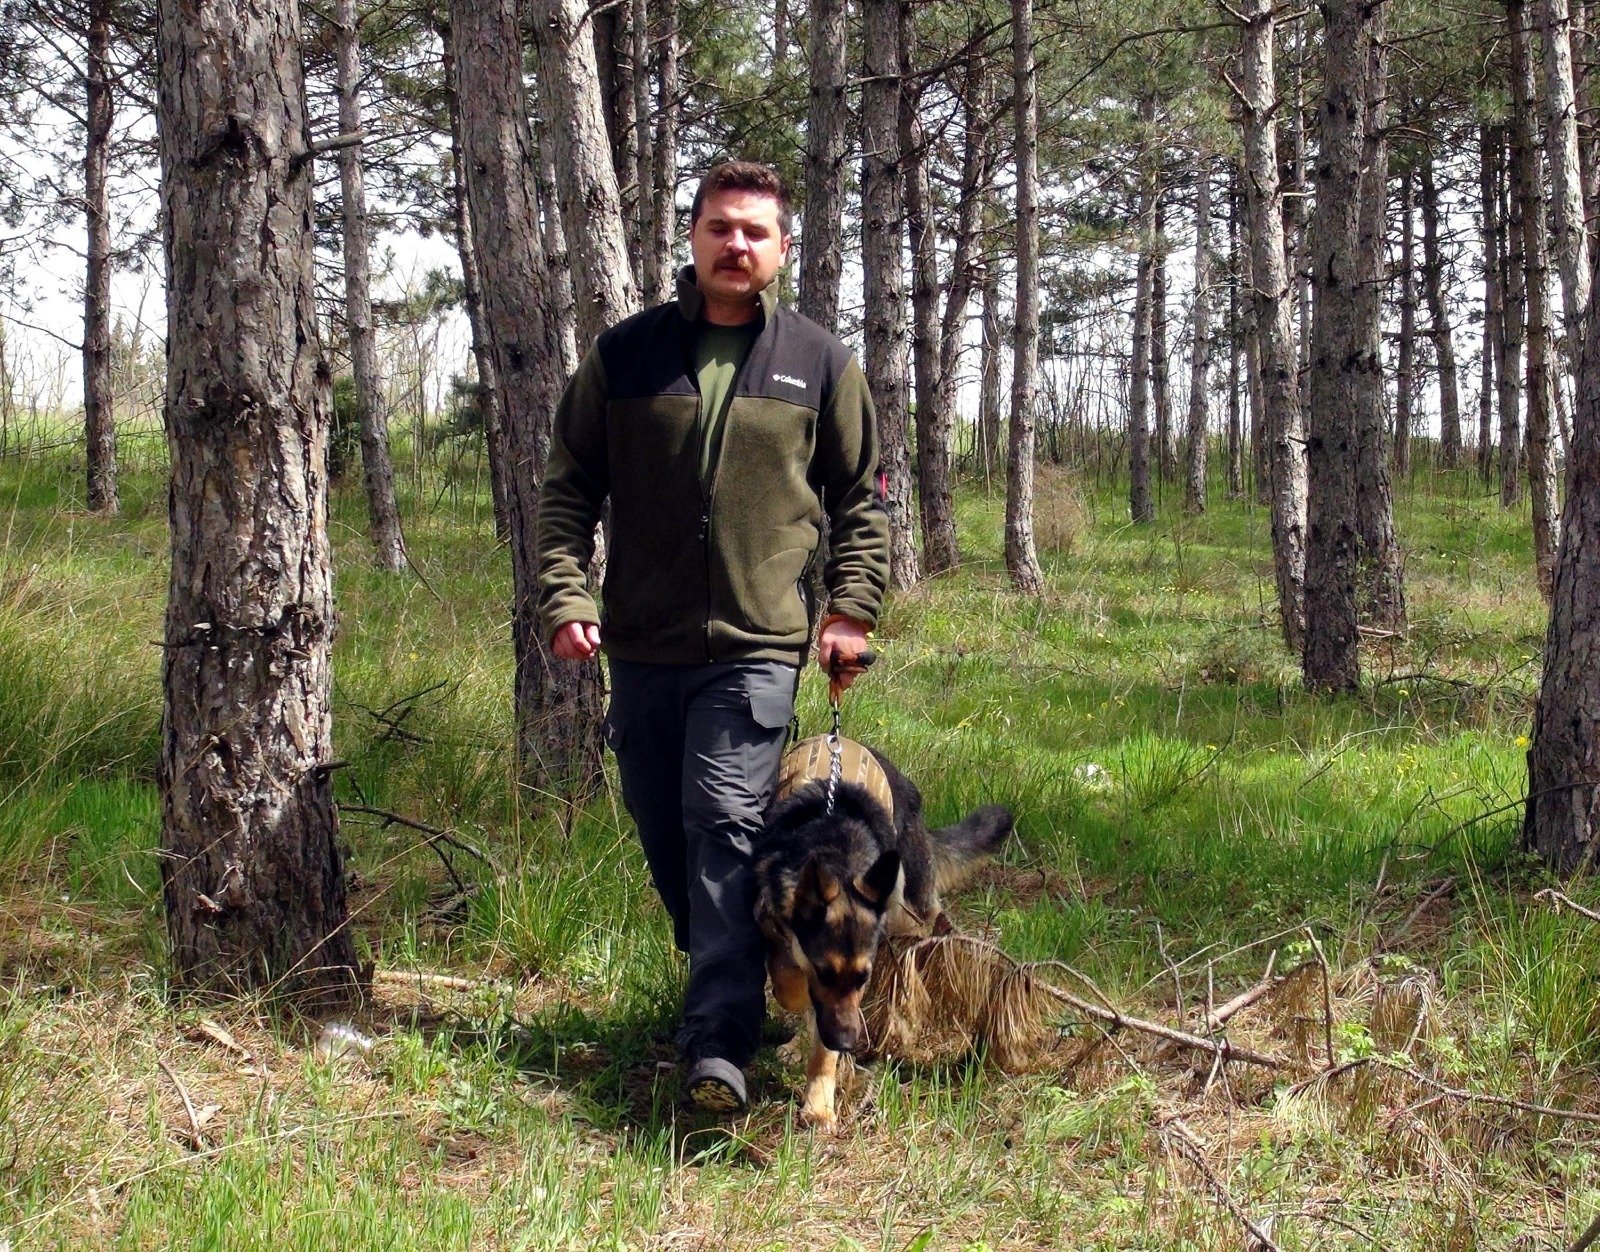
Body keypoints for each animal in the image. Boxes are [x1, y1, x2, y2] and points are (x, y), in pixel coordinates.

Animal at [754, 744, 1013, 1131]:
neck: (838, 848)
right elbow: (790, 984)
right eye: (824, 973)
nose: (848, 1043)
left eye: (863, 977)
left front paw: (819, 1105)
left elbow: (823, 1043)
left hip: (910, 909)